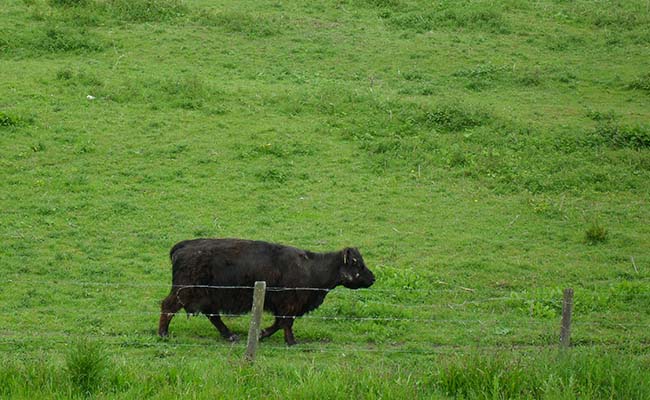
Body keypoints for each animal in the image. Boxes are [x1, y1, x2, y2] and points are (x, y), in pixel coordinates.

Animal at [156, 239, 374, 346]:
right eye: (357, 263)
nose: (373, 278)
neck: (311, 267)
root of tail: (182, 246)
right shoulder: (288, 304)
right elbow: (285, 322)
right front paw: (290, 341)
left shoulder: (283, 305)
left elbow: (280, 323)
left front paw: (261, 333)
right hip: (185, 292)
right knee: (168, 306)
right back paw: (163, 334)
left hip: (205, 296)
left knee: (213, 316)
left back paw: (230, 336)